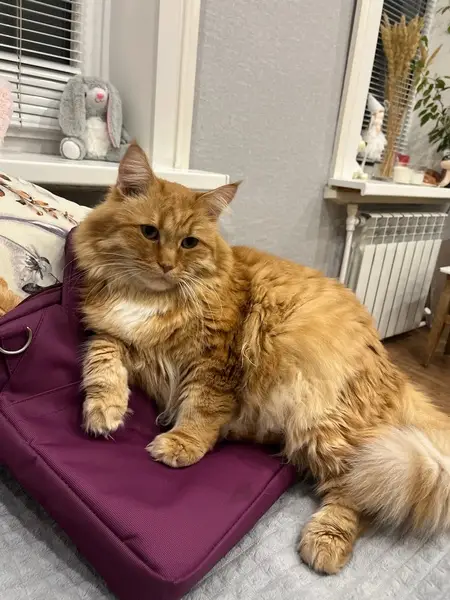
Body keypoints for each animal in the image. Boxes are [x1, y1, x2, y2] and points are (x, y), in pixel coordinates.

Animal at [74, 142, 450, 575]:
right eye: (149, 232)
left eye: (189, 243)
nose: (167, 265)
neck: (150, 298)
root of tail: (393, 370)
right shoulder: (112, 335)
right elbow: (101, 363)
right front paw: (104, 410)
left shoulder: (215, 362)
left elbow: (201, 409)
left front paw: (182, 444)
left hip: (323, 424)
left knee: (361, 493)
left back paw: (324, 542)